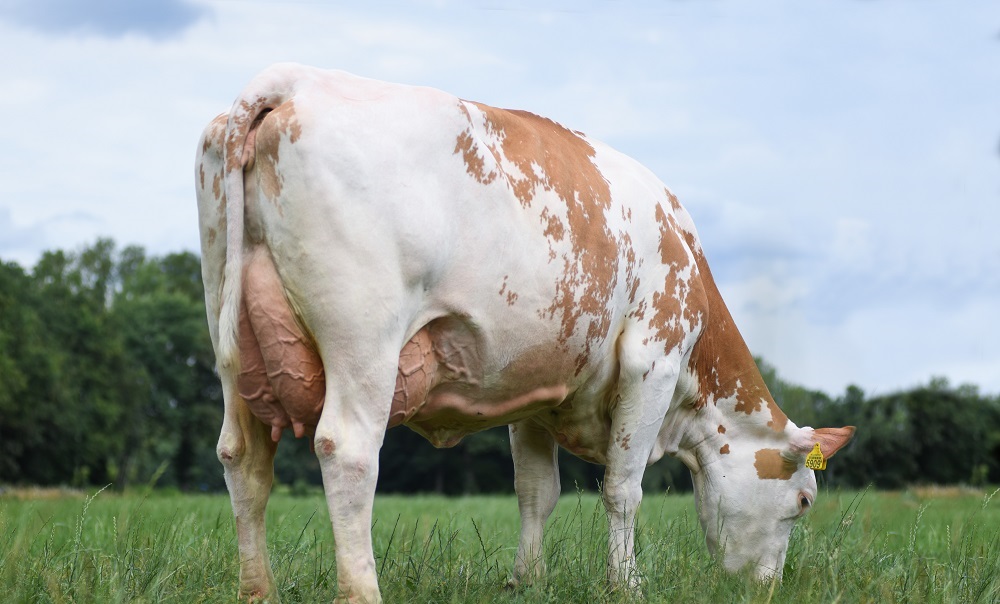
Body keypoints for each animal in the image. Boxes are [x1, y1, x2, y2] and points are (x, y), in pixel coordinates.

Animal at [197, 62, 860, 604]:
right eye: (803, 501)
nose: (766, 590)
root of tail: (291, 80)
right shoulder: (653, 360)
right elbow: (624, 488)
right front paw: (627, 585)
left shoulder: (536, 386)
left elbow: (536, 491)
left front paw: (528, 580)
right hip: (364, 339)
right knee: (348, 450)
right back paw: (361, 591)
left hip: (231, 341)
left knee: (242, 458)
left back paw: (257, 590)